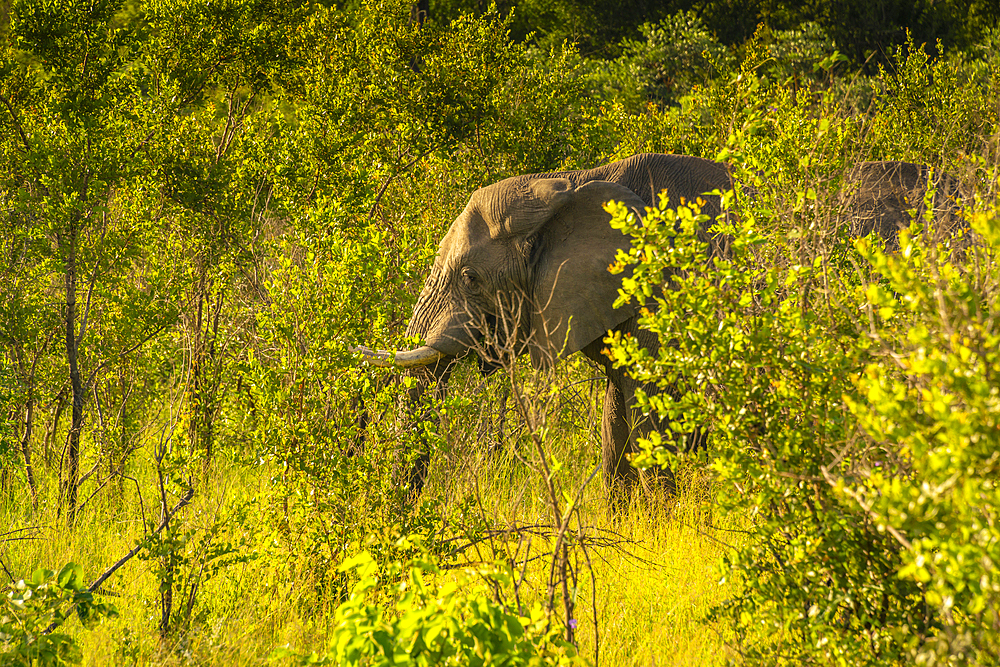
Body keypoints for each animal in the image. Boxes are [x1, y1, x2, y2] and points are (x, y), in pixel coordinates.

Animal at [354, 153, 736, 506]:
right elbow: (615, 421)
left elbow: (652, 419)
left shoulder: (662, 296)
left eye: (470, 278)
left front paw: (665, 522)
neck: (573, 182)